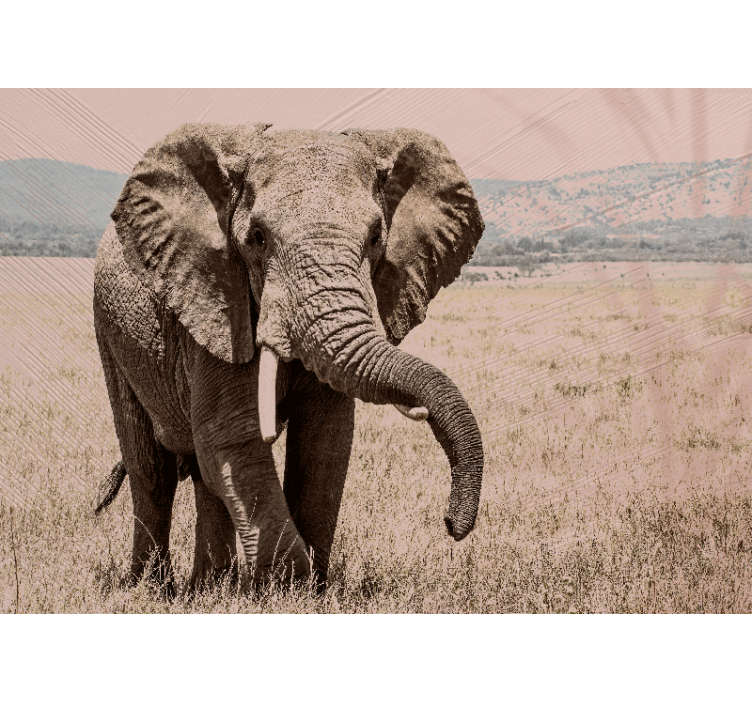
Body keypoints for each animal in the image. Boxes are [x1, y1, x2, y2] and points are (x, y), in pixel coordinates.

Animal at [92, 122, 484, 591]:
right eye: (257, 238)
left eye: (376, 238)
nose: (450, 524)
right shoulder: (218, 304)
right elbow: (233, 436)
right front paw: (286, 587)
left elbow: (324, 442)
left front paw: (310, 590)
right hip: (110, 334)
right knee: (151, 470)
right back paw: (153, 589)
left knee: (203, 474)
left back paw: (209, 589)